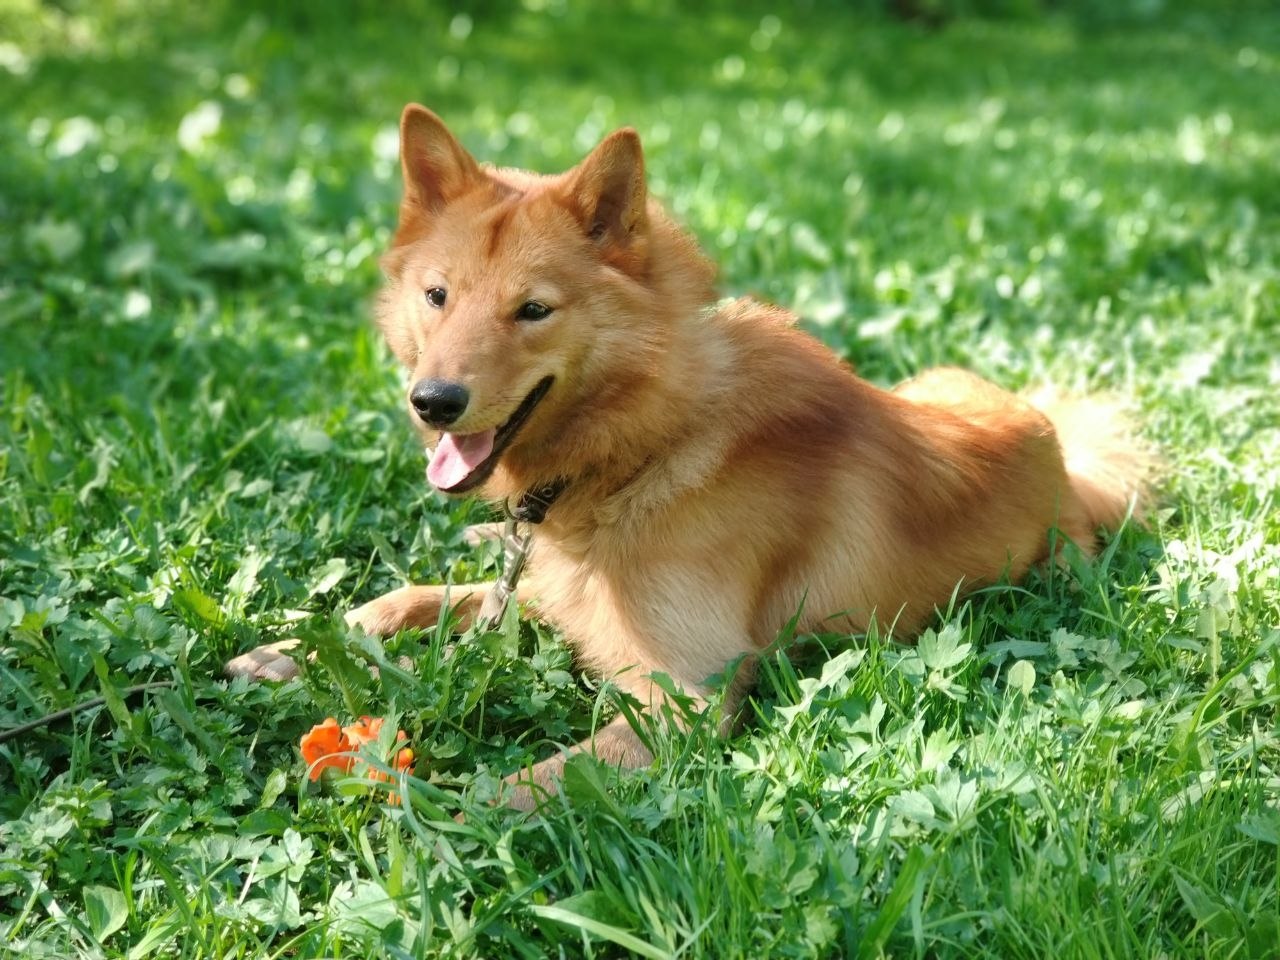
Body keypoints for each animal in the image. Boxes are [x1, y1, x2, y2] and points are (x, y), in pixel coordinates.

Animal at [227, 106, 1152, 814]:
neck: (647, 445)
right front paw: (287, 649)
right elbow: (407, 597)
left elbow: (511, 784)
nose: (434, 402)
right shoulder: (551, 594)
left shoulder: (687, 700)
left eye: (533, 310)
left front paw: (418, 808)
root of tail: (1061, 448)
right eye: (437, 296)